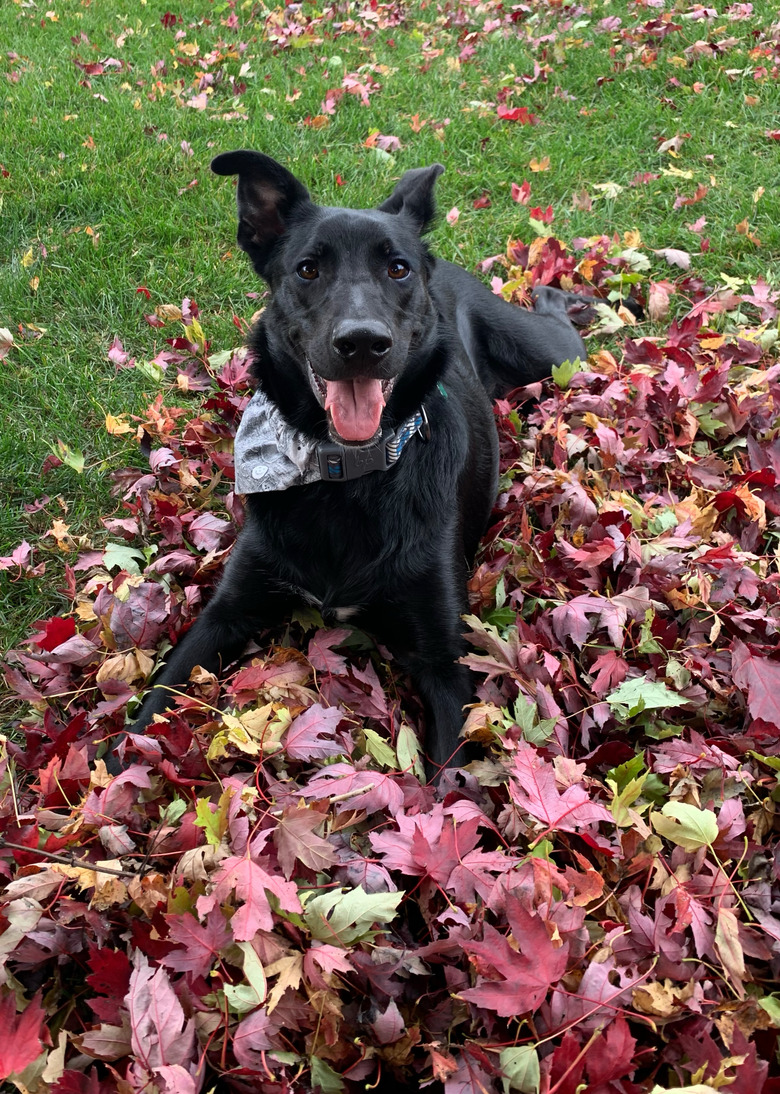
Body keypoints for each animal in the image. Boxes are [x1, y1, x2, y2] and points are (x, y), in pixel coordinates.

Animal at [120, 149, 586, 774]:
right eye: (307, 270)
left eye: (397, 270)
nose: (362, 342)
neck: (343, 474)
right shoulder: (226, 613)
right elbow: (149, 711)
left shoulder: (444, 663)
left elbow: (450, 784)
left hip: (555, 359)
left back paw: (555, 294)